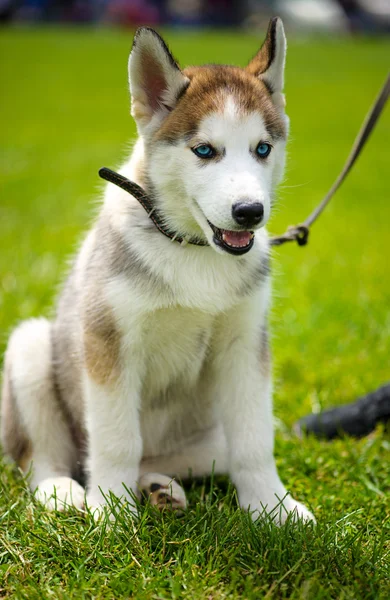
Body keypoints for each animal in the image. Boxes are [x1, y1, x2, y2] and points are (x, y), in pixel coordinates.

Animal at [0, 18, 314, 524]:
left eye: (263, 149)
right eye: (204, 151)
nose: (249, 212)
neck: (192, 249)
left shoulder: (245, 342)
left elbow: (254, 441)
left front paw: (273, 509)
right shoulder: (108, 340)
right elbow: (116, 440)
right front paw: (110, 514)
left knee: (184, 455)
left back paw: (157, 487)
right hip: (31, 350)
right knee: (47, 458)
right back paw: (64, 492)